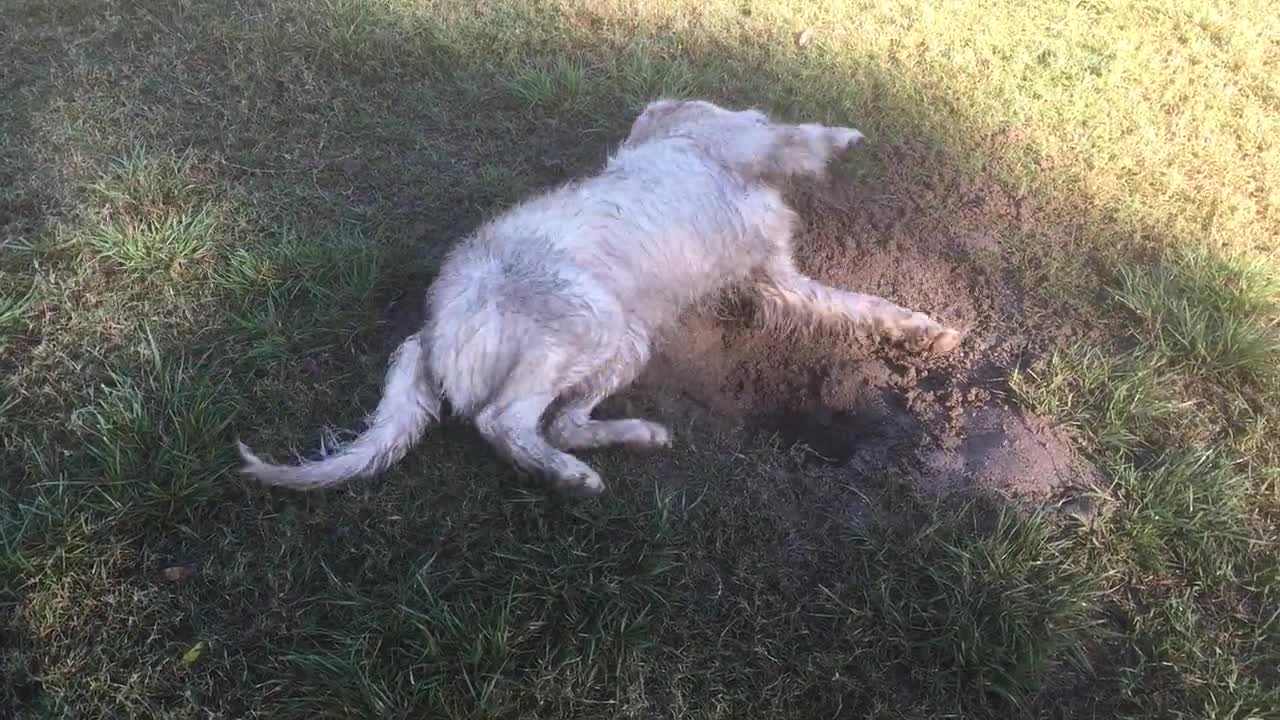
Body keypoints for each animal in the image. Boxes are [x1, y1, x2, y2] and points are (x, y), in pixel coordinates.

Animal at [240, 99, 962, 491]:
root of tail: (431, 334)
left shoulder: (780, 278)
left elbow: (860, 304)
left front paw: (925, 329)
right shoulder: (744, 140)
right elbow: (797, 135)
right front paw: (846, 137)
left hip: (622, 343)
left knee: (560, 422)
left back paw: (633, 436)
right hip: (591, 325)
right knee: (506, 422)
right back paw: (568, 475)